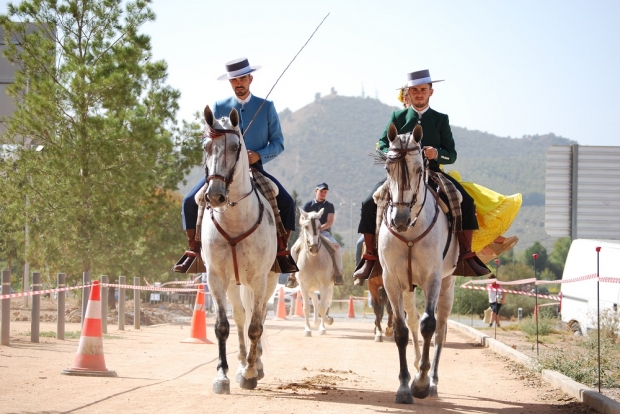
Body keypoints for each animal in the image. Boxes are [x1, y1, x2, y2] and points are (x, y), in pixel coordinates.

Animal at [200, 105, 278, 392]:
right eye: (206, 146)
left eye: (236, 147)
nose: (215, 195)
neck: (234, 219)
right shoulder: (215, 278)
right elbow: (223, 326)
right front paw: (222, 375)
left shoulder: (258, 279)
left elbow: (256, 327)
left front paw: (250, 374)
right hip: (234, 284)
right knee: (241, 317)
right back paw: (243, 361)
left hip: (268, 282)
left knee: (259, 317)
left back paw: (255, 365)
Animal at [294, 209, 336, 338]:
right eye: (306, 226)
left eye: (319, 226)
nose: (313, 248)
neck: (312, 260)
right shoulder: (303, 286)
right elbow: (307, 308)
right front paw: (307, 330)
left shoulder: (324, 286)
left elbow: (323, 307)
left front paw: (324, 326)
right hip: (310, 288)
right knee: (315, 301)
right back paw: (316, 321)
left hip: (328, 287)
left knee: (324, 304)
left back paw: (324, 322)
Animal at [378, 122, 460, 404]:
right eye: (387, 168)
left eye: (419, 169)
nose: (400, 218)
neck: (411, 231)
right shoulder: (391, 281)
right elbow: (401, 330)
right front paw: (405, 386)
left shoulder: (432, 278)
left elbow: (429, 325)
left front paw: (422, 384)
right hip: (407, 287)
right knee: (412, 321)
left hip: (447, 283)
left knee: (441, 329)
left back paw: (432, 380)